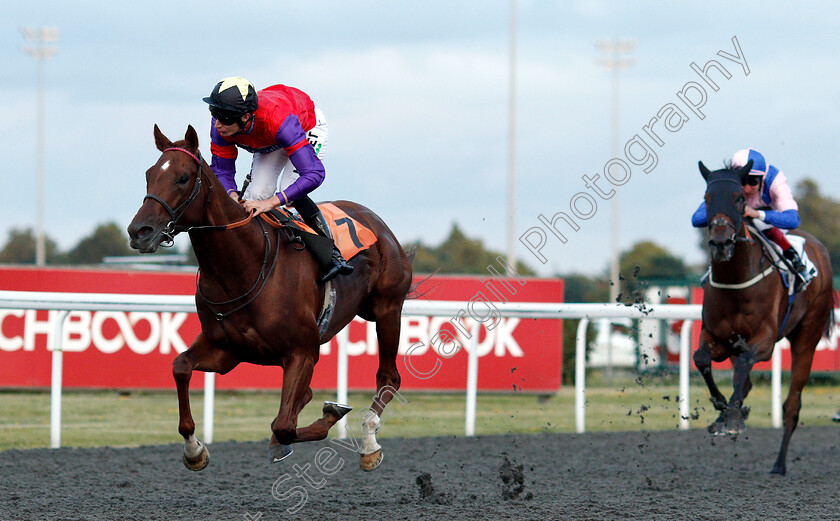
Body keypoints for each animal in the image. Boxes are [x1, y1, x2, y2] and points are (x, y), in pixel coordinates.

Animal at [126, 126, 412, 472]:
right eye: (149, 175)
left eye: (183, 178)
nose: (139, 231)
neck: (244, 265)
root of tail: (376, 221)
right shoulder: (227, 349)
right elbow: (180, 366)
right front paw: (194, 449)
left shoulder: (303, 352)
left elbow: (285, 425)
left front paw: (331, 414)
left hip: (388, 309)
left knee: (389, 376)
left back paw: (369, 440)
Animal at [696, 160, 832, 474]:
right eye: (707, 199)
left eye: (739, 199)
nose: (721, 243)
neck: (736, 280)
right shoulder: (718, 337)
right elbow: (702, 359)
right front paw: (722, 409)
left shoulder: (765, 341)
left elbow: (748, 361)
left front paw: (733, 417)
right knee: (743, 380)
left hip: (807, 336)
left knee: (792, 405)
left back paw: (779, 464)